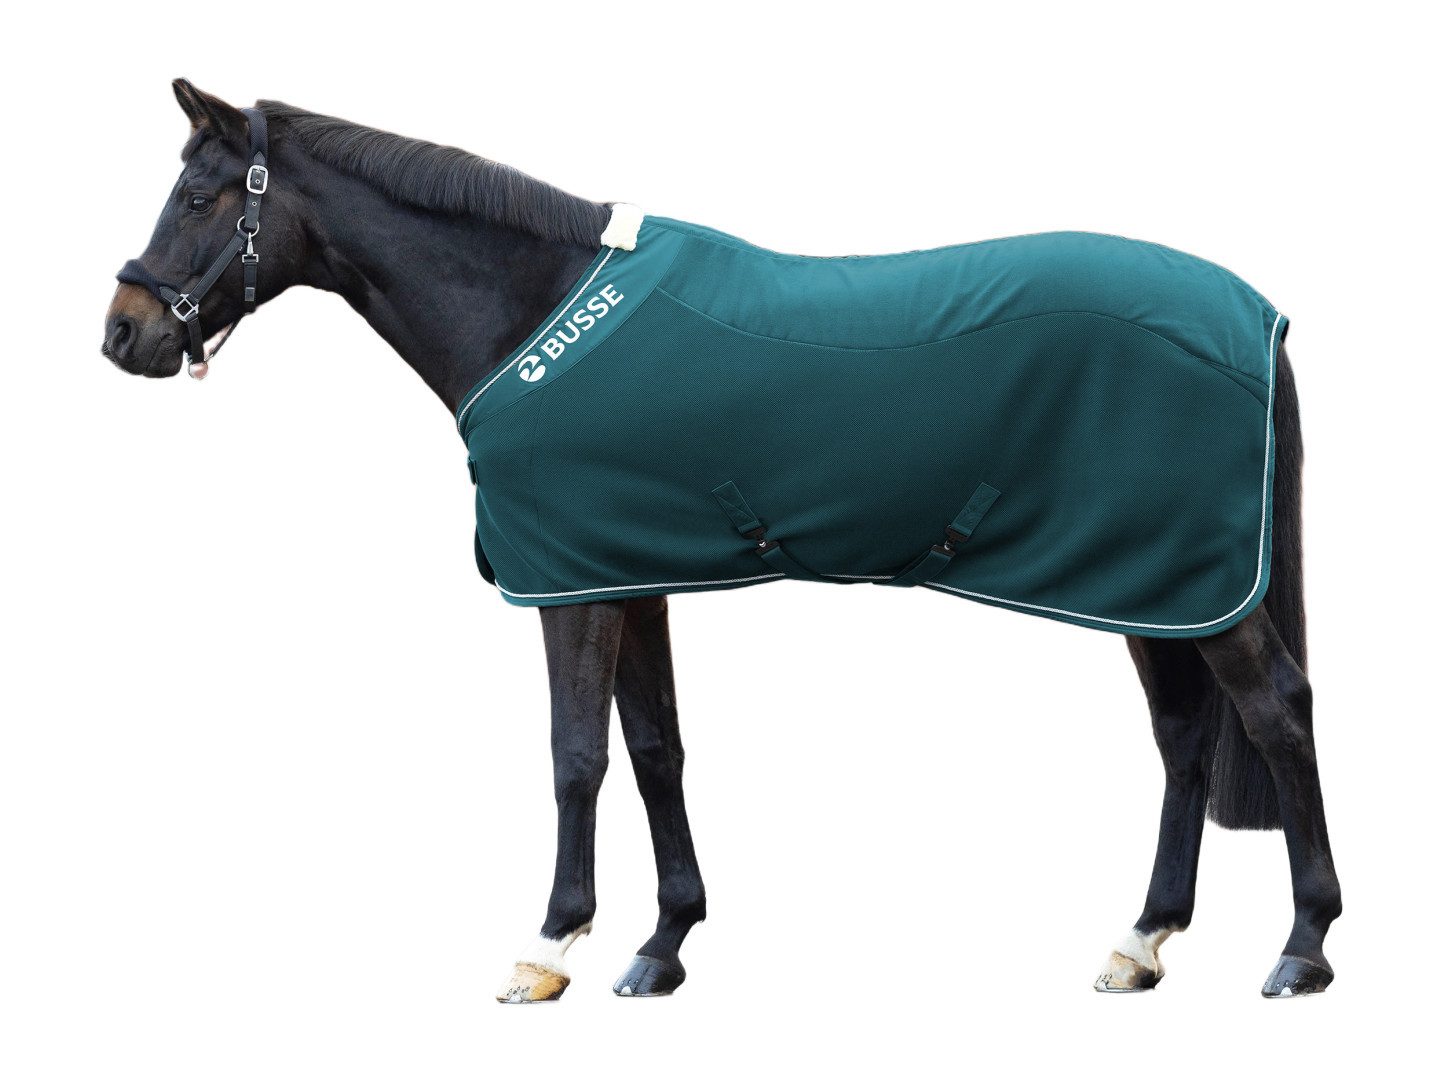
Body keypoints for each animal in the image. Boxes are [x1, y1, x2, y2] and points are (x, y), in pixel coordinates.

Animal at [102, 79, 1341, 1002]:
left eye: (202, 196)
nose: (123, 334)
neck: (532, 311)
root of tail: (1255, 313)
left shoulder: (568, 586)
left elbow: (575, 756)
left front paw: (548, 949)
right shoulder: (624, 573)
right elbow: (655, 751)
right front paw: (662, 947)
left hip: (1189, 585)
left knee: (1276, 714)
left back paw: (1303, 948)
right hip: (1151, 585)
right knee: (1183, 737)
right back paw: (1143, 941)